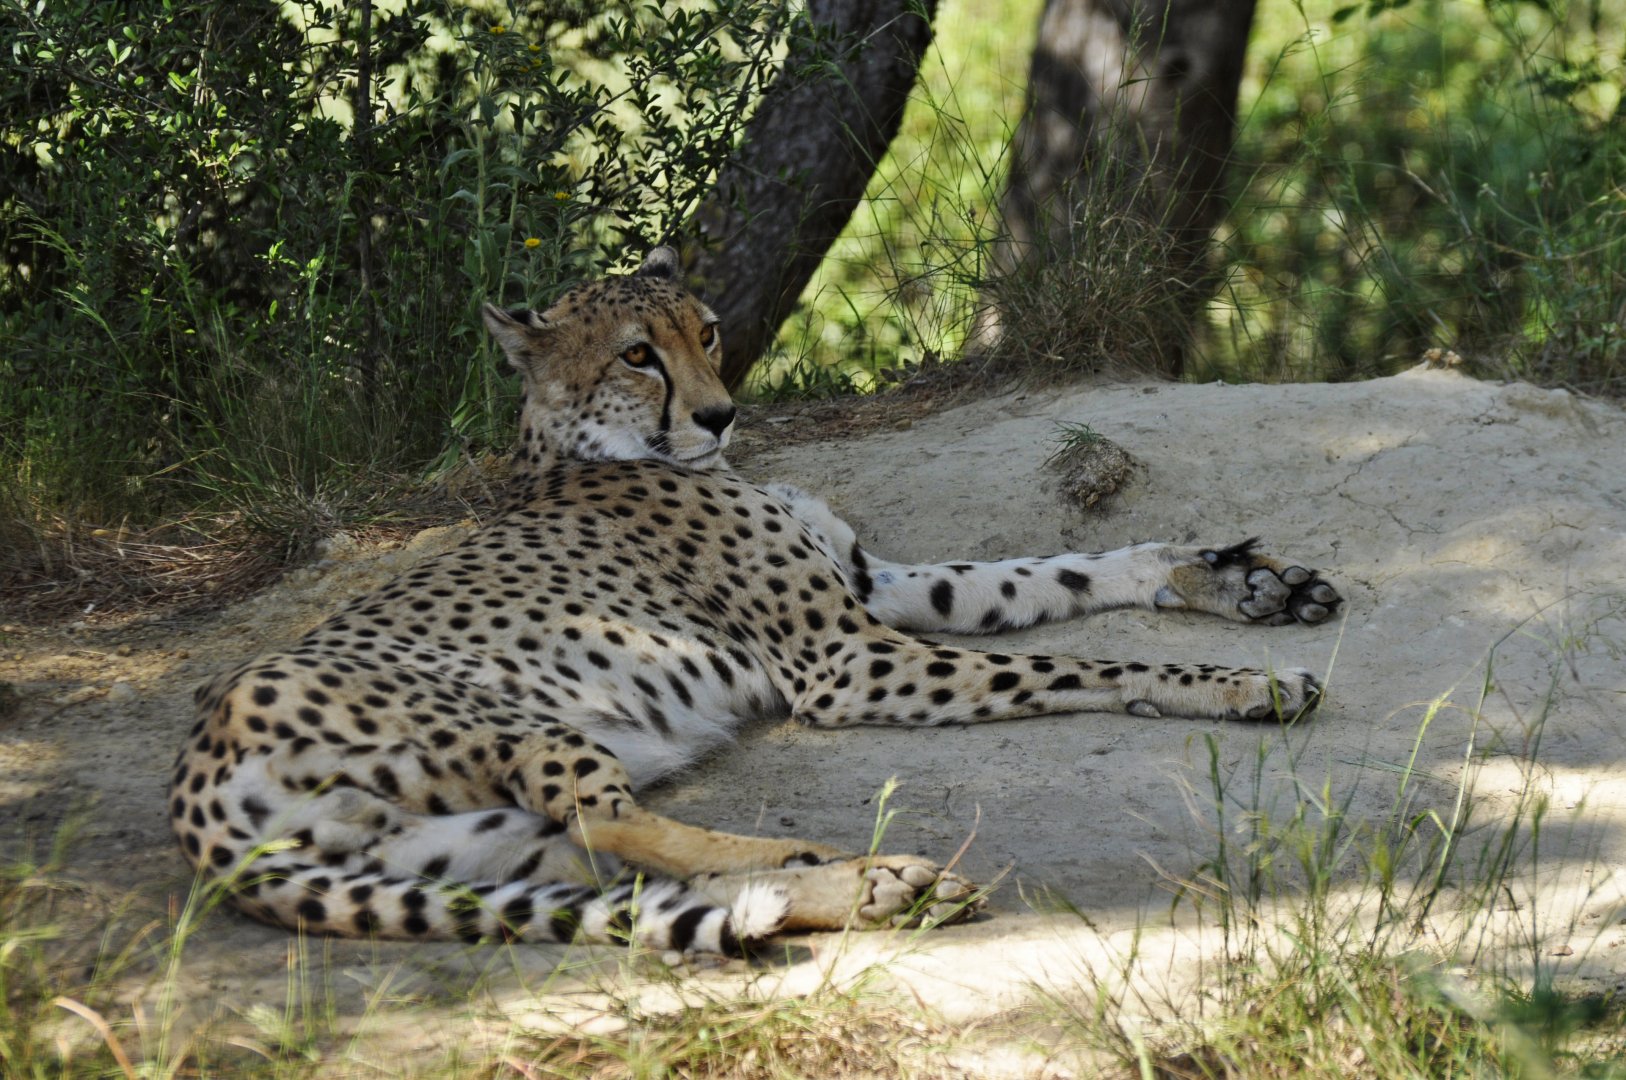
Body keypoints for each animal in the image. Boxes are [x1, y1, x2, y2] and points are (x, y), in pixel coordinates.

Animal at [168, 247, 1341, 954]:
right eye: (636, 356)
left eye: (705, 331)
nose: (723, 414)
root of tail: (194, 781)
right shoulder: (848, 660)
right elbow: (1079, 662)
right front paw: (1239, 686)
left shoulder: (876, 589)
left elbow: (1052, 573)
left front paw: (1240, 579)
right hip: (510, 723)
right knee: (616, 827)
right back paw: (858, 872)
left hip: (459, 843)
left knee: (615, 876)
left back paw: (866, 888)